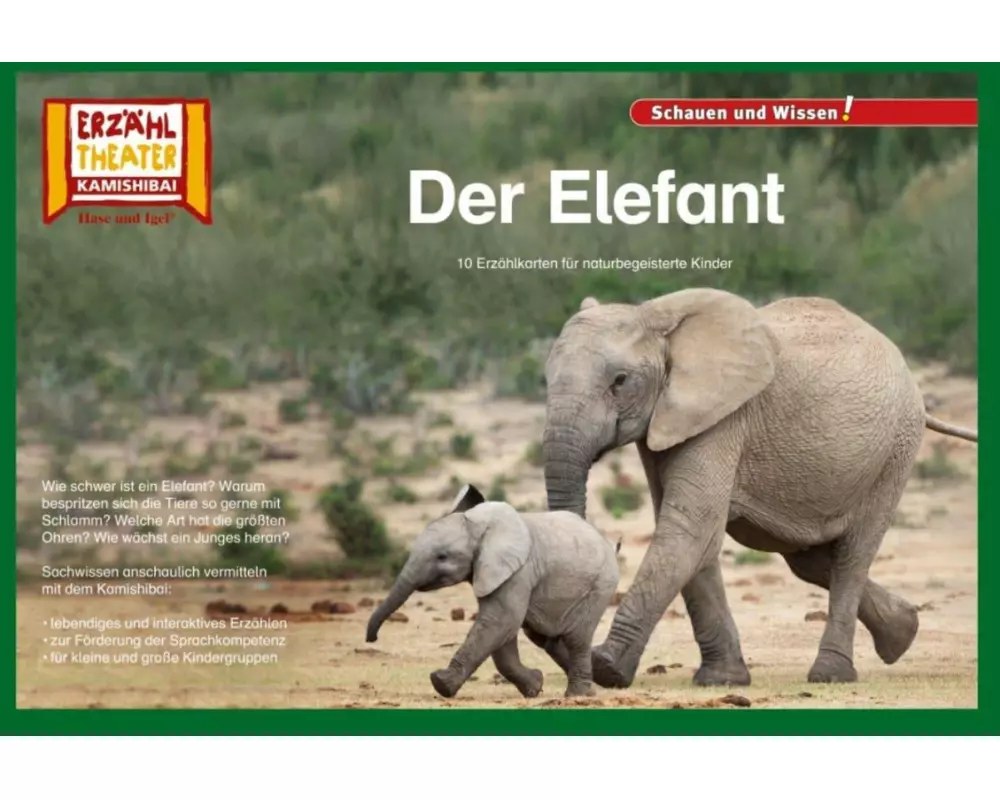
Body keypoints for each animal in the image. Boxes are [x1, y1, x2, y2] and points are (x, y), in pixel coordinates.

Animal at [366, 484, 620, 699]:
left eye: (442, 557)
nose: (372, 639)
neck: (480, 526)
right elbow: (503, 633)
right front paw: (534, 686)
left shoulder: (518, 571)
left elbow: (500, 621)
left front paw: (440, 683)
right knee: (546, 638)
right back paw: (591, 689)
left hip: (600, 584)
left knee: (576, 638)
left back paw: (578, 695)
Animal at [541, 288, 978, 689]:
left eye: (620, 381)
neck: (656, 317)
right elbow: (693, 534)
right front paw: (723, 680)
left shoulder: (724, 416)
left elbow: (690, 527)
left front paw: (607, 669)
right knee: (809, 559)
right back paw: (902, 633)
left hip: (894, 452)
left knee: (852, 555)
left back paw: (830, 674)